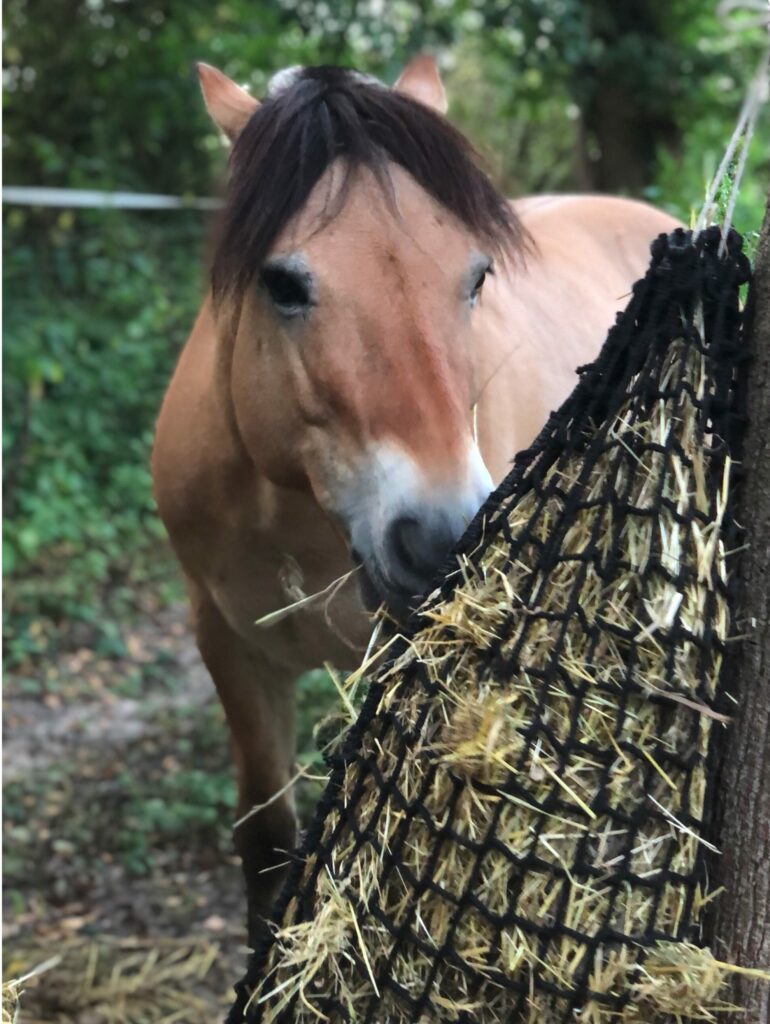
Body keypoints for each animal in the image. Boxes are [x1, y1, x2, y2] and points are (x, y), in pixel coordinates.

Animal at [151, 54, 679, 937]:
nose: (440, 539)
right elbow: (267, 845)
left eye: (477, 276)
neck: (296, 515)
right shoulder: (231, 651)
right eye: (282, 282)